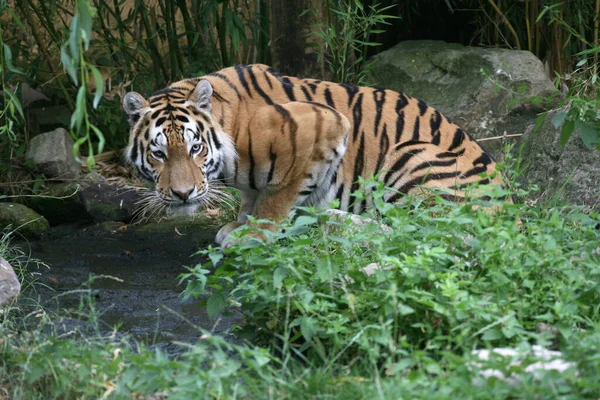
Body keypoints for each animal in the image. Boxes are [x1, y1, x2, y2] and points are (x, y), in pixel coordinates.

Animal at [120, 63, 502, 245]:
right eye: (158, 154)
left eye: (195, 148)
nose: (183, 194)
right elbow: (252, 198)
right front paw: (239, 225)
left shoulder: (324, 124)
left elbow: (276, 198)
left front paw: (252, 235)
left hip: (410, 156)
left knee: (418, 231)